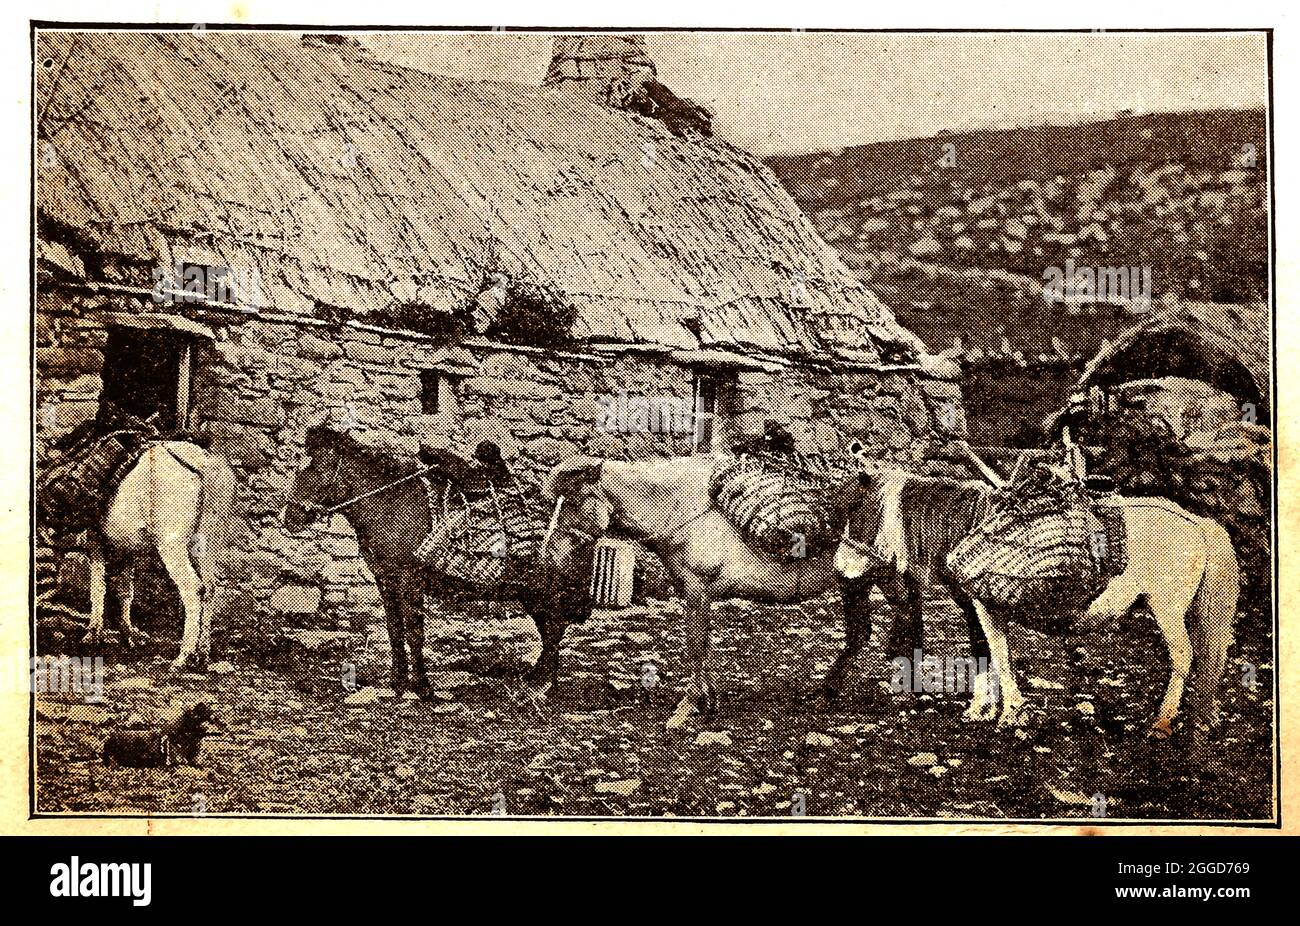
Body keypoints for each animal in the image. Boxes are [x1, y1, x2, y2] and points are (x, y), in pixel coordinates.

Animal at [288, 426, 595, 697]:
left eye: (316, 467)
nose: (288, 515)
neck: (391, 505)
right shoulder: (385, 580)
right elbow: (394, 630)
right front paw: (398, 683)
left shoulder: (410, 580)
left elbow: (414, 632)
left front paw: (423, 688)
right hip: (532, 594)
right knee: (551, 631)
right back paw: (539, 681)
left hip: (547, 592)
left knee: (554, 630)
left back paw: (542, 687)